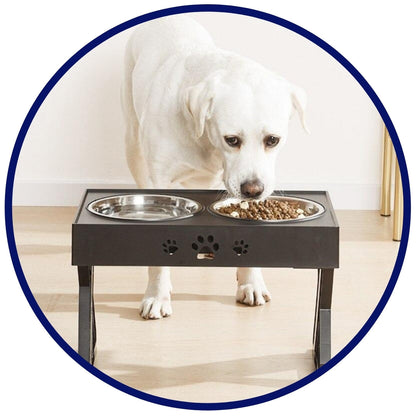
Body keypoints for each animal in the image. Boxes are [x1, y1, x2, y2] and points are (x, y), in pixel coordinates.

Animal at [121, 13, 308, 318]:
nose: (253, 190)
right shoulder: (160, 179)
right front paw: (157, 295)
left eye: (273, 140)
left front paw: (250, 282)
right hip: (132, 141)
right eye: (231, 139)